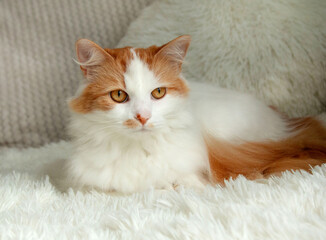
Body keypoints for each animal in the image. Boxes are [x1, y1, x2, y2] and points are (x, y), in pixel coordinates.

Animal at [67, 35, 326, 193]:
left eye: (158, 92)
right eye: (119, 95)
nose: (142, 117)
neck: (138, 151)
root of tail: (288, 123)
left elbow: (185, 181)